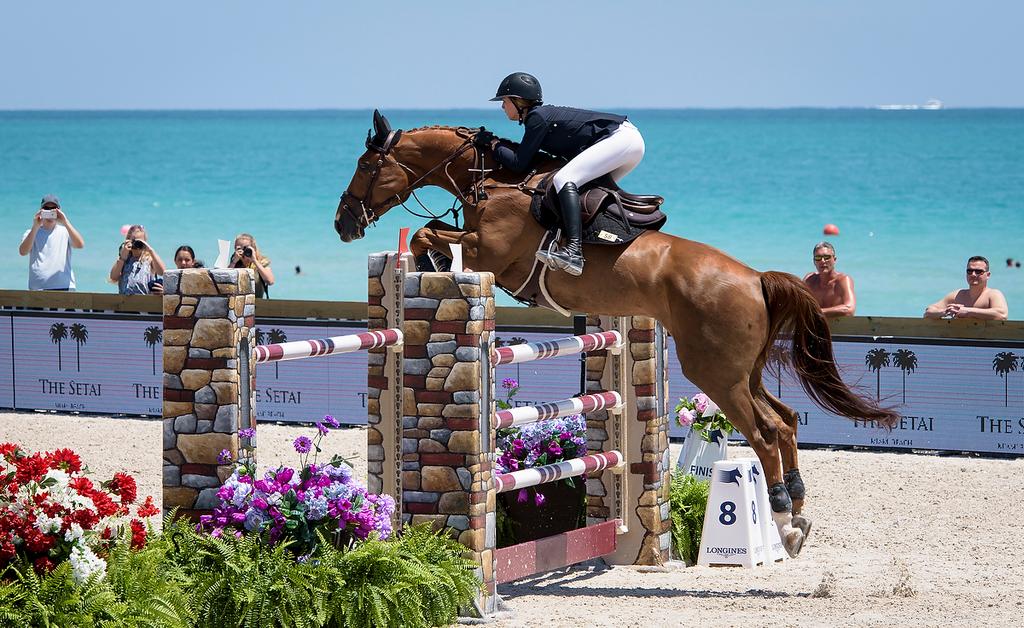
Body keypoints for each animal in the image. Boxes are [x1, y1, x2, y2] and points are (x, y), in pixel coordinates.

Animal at [335, 110, 897, 557]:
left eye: (365, 166)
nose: (343, 222)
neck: (493, 183)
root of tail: (755, 277)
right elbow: (431, 234)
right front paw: (428, 260)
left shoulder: (490, 252)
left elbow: (429, 233)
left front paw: (430, 261)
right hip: (743, 371)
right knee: (785, 422)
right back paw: (796, 511)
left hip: (716, 373)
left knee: (764, 432)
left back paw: (783, 517)